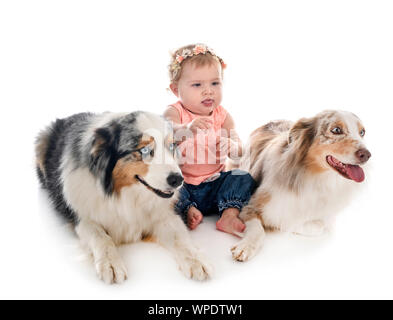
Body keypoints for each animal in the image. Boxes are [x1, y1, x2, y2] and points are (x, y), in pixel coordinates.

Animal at [36, 111, 211, 284]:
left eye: (171, 146)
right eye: (144, 150)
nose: (178, 180)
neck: (126, 194)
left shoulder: (163, 214)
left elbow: (178, 236)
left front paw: (196, 260)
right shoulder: (81, 216)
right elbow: (100, 236)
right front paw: (111, 263)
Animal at [230, 110, 370, 262]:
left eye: (362, 132)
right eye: (336, 130)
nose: (367, 155)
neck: (314, 177)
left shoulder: (327, 215)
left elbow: (316, 225)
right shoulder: (250, 204)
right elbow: (258, 228)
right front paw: (246, 246)